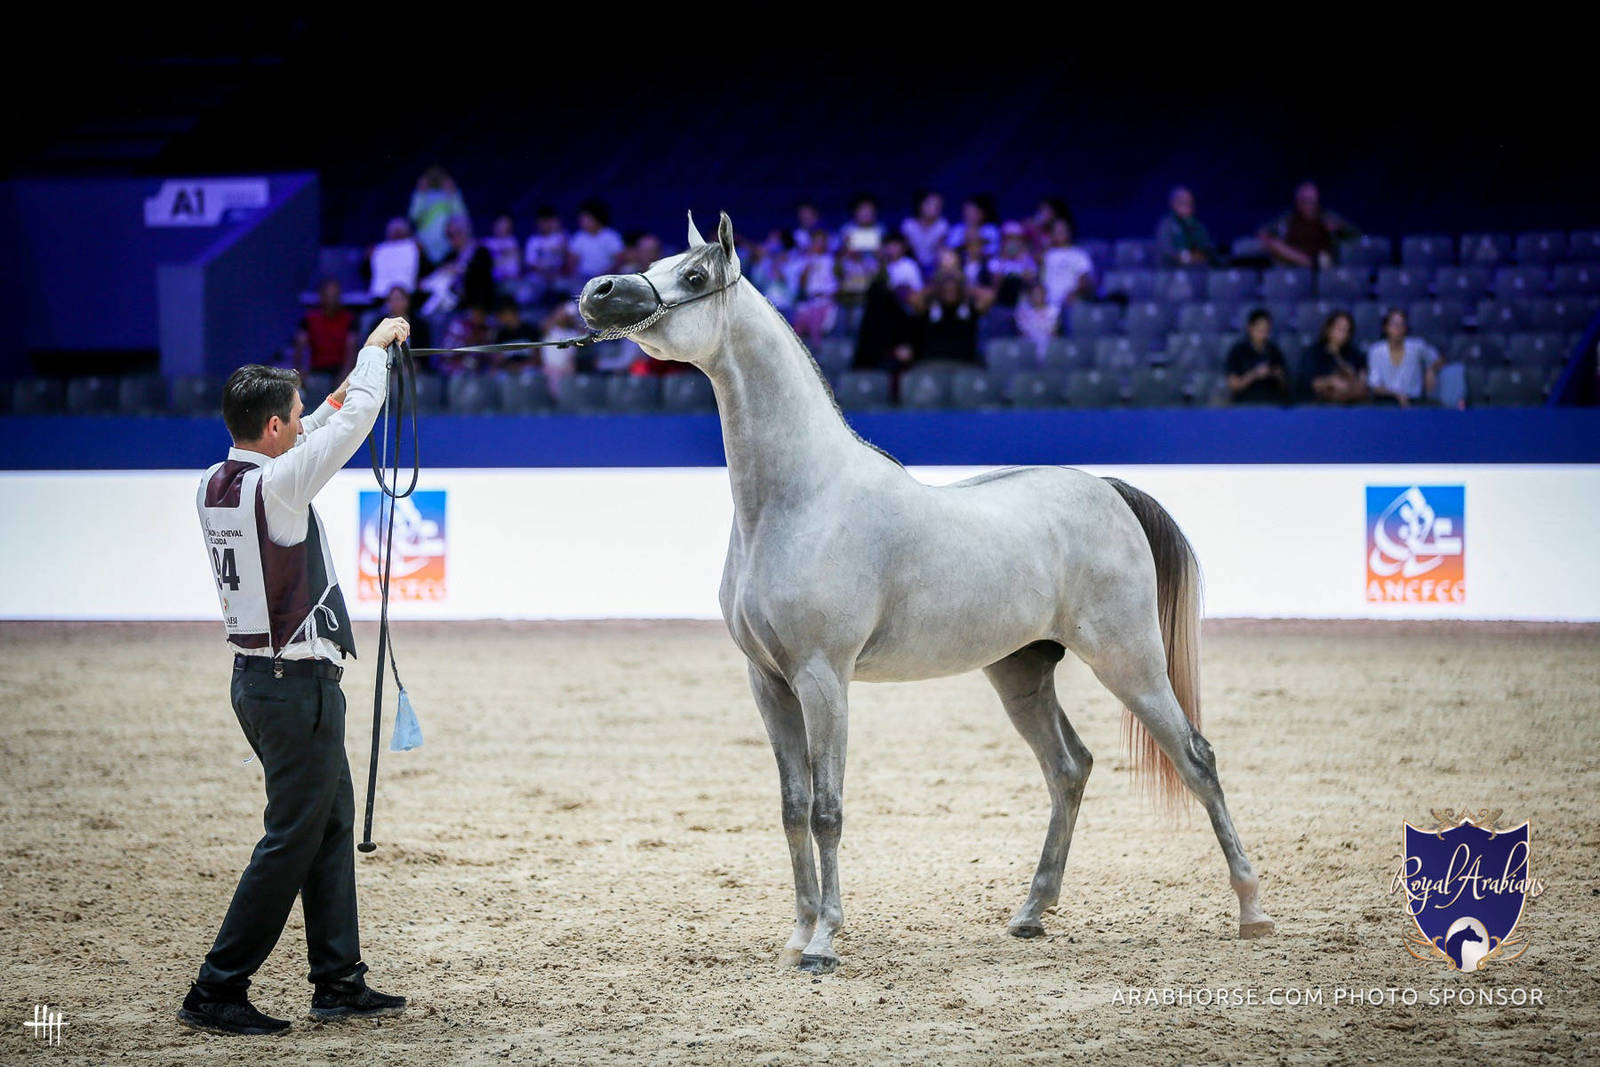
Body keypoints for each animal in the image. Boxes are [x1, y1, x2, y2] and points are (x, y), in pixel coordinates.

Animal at [579, 211, 1275, 974]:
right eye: (656, 263)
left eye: (695, 274)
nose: (597, 291)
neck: (802, 499)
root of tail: (1105, 489)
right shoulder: (769, 682)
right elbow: (792, 807)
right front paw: (797, 933)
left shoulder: (824, 679)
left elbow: (827, 809)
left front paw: (824, 941)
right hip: (1022, 672)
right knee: (1069, 767)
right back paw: (1031, 912)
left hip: (1130, 660)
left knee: (1197, 759)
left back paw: (1252, 910)